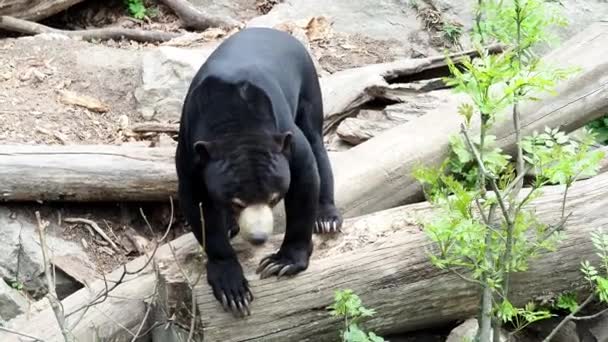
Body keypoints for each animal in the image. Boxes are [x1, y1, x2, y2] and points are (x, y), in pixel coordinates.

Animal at [175, 26, 342, 318]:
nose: (258, 238)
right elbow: (196, 204)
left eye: (274, 198)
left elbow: (305, 175)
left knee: (316, 142)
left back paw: (327, 219)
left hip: (308, 86)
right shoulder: (190, 149)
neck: (235, 122)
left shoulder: (284, 137)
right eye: (236, 202)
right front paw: (233, 289)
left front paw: (281, 263)